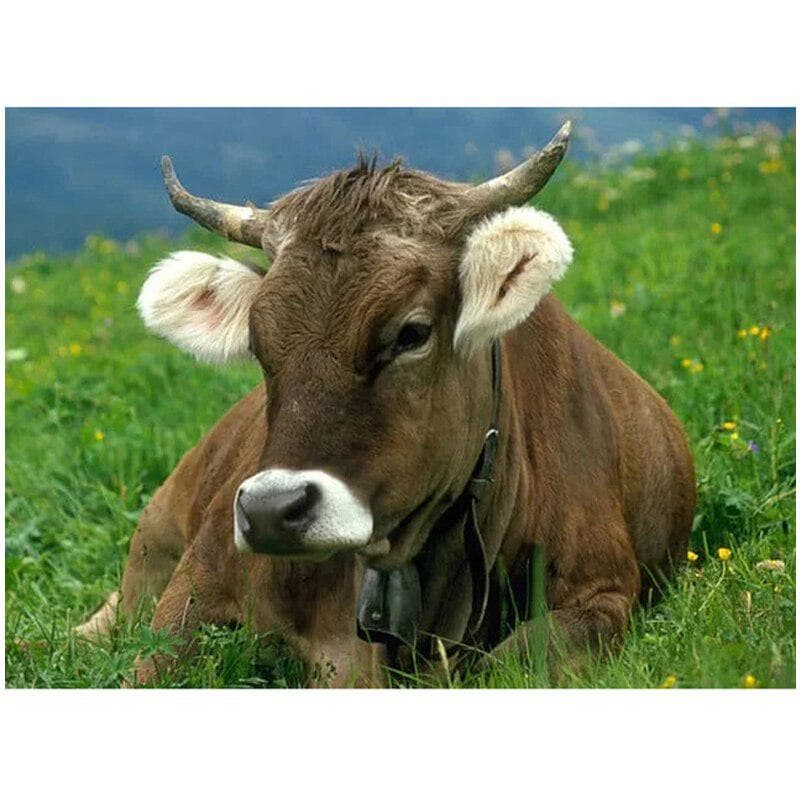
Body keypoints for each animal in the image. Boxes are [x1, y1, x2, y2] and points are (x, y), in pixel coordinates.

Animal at [75, 122, 695, 687]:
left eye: (412, 333)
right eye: (258, 343)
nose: (272, 511)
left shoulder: (603, 592)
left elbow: (513, 663)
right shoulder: (197, 585)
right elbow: (145, 667)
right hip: (155, 538)